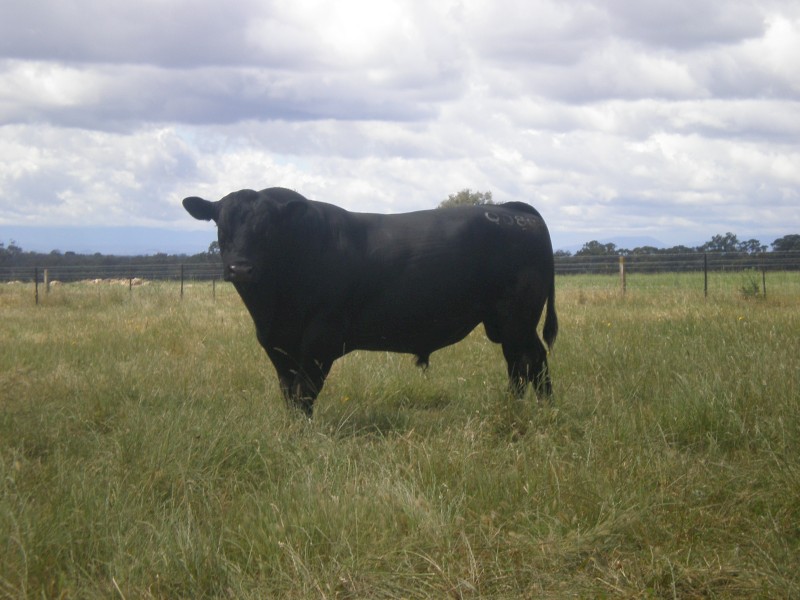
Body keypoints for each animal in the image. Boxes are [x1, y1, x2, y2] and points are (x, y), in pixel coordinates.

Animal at [183, 187, 557, 417]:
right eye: (221, 226)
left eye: (268, 228)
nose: (240, 267)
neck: (271, 309)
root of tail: (510, 210)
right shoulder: (276, 344)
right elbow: (289, 391)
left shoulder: (321, 337)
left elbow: (305, 391)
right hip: (503, 322)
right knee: (518, 363)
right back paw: (514, 407)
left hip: (518, 316)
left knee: (532, 359)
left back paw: (544, 409)